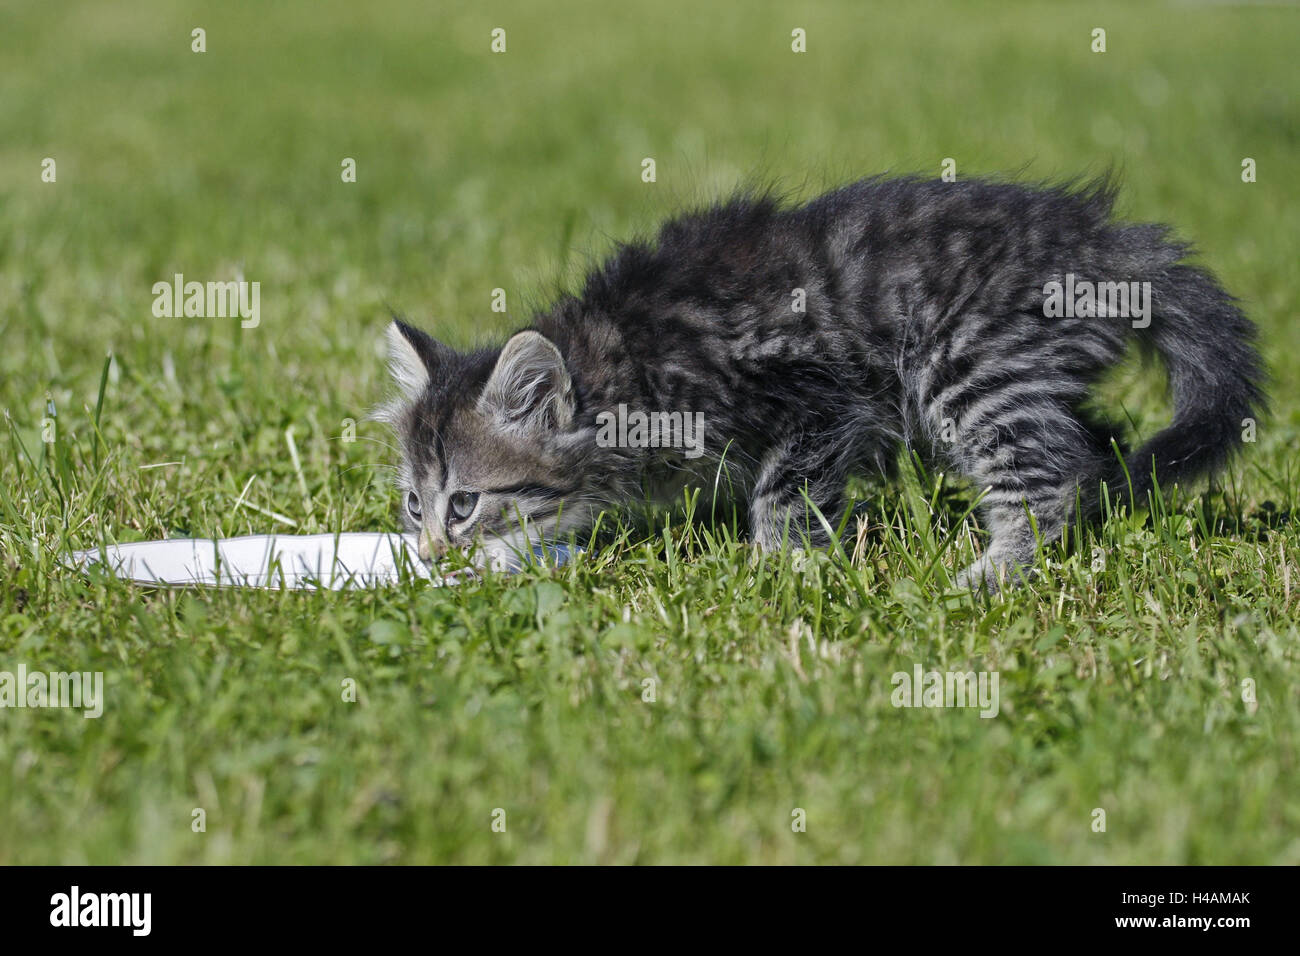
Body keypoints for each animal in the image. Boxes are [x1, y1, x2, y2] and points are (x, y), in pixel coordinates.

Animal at [379, 174, 1268, 587]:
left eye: (465, 504)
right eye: (416, 504)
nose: (428, 552)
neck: (618, 362)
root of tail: (1101, 244)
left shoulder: (816, 397)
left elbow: (783, 492)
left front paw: (778, 571)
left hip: (968, 364)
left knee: (1046, 473)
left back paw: (991, 574)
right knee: (1092, 447)